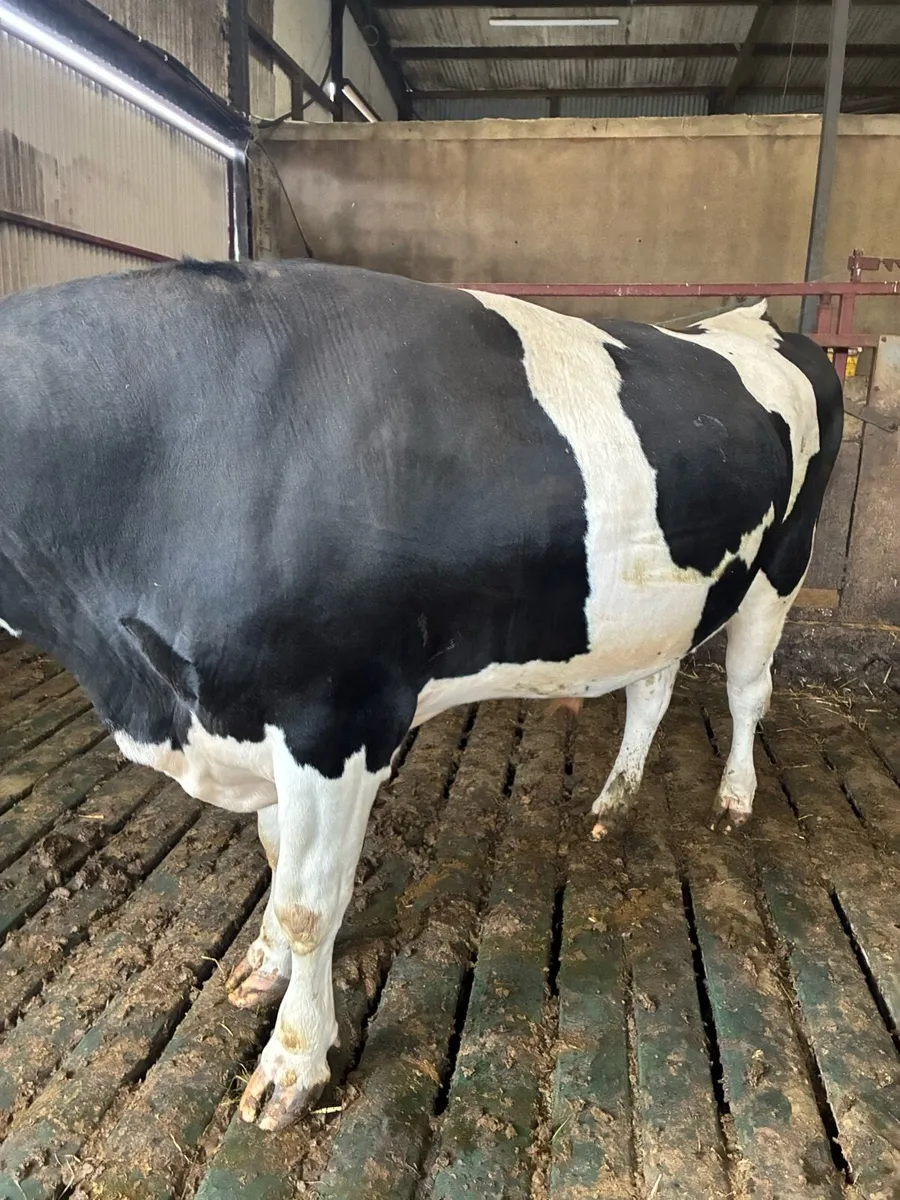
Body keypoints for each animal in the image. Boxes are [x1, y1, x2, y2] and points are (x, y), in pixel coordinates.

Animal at [0, 258, 842, 1130]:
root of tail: (755, 319)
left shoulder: (337, 719)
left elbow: (310, 904)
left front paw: (294, 1062)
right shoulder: (258, 721)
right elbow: (274, 855)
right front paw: (262, 965)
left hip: (784, 565)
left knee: (747, 690)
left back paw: (735, 795)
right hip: (669, 601)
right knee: (652, 688)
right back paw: (615, 797)